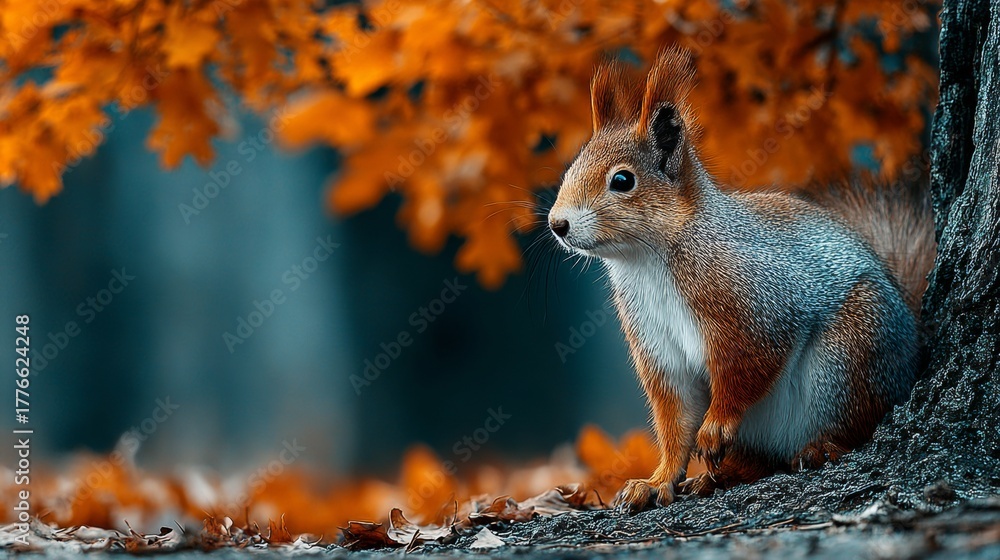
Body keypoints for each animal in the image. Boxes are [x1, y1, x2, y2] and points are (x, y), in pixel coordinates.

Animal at [548, 47, 936, 513]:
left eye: (622, 180)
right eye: (572, 166)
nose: (557, 224)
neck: (646, 260)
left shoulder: (755, 306)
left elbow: (748, 366)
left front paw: (715, 426)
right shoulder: (658, 347)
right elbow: (675, 421)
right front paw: (656, 481)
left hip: (850, 357)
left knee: (857, 423)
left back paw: (821, 447)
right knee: (760, 463)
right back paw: (716, 477)